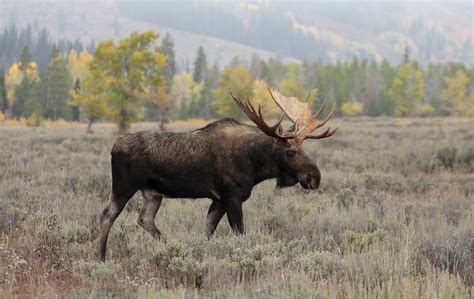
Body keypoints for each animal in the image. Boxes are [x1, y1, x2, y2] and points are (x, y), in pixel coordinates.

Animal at [98, 88, 338, 262]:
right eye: (290, 151)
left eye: (303, 147)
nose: (314, 177)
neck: (255, 164)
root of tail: (114, 146)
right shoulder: (232, 196)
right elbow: (239, 232)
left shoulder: (219, 199)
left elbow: (208, 229)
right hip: (123, 185)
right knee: (107, 215)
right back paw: (100, 257)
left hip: (153, 193)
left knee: (144, 219)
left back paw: (166, 245)